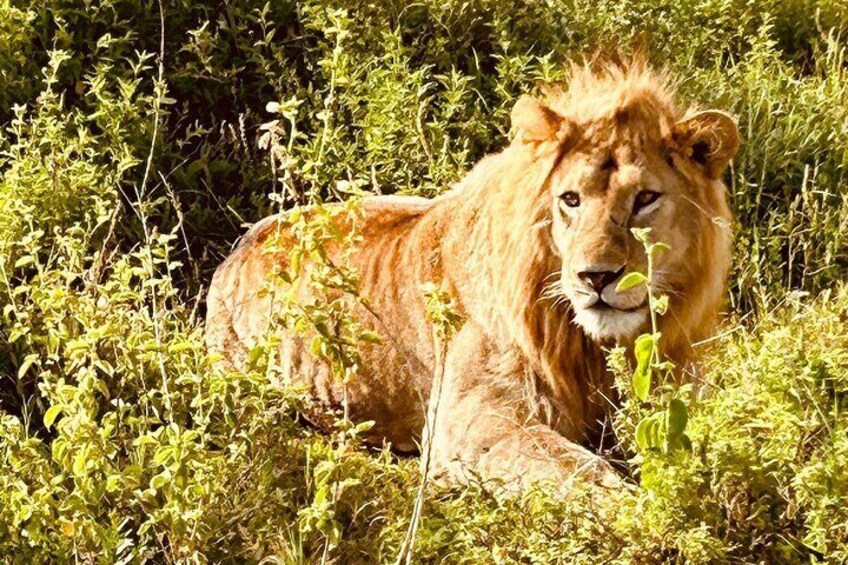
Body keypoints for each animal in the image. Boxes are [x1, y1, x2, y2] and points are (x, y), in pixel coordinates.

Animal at [205, 60, 739, 490]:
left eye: (645, 198)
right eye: (570, 199)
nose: (596, 277)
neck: (591, 346)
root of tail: (238, 248)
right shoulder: (470, 418)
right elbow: (582, 471)